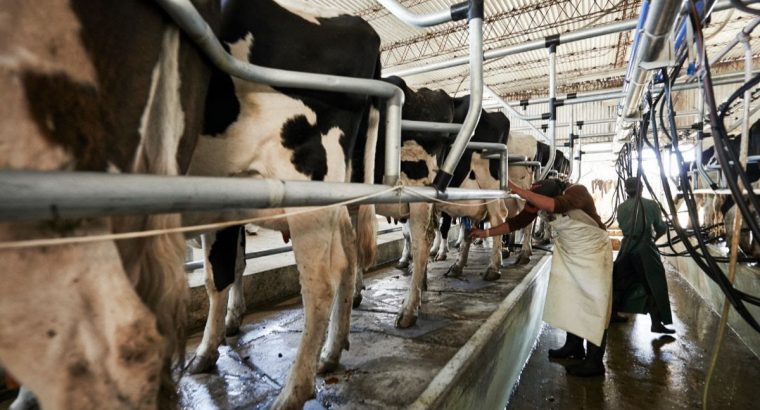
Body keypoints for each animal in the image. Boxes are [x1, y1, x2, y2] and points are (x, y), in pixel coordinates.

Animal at [186, 1, 380, 408]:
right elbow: (226, 270)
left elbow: (218, 273)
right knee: (349, 252)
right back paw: (331, 352)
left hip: (306, 183)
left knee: (321, 279)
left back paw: (294, 390)